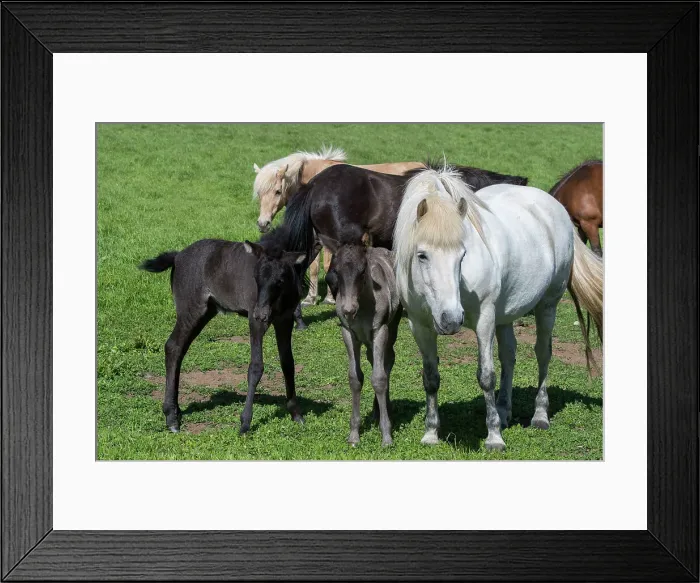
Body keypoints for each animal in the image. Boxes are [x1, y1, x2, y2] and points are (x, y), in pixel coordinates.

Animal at [139, 224, 308, 435]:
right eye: (255, 278)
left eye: (281, 280)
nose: (261, 313)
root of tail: (177, 256)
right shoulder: (255, 323)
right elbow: (256, 367)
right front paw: (245, 423)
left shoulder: (284, 320)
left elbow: (288, 364)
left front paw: (296, 413)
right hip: (191, 309)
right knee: (173, 347)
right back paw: (171, 417)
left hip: (206, 312)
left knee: (178, 349)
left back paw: (175, 411)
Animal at [252, 146, 423, 306]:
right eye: (259, 194)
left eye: (277, 191)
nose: (262, 224)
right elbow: (314, 267)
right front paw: (310, 298)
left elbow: (328, 263)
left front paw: (329, 298)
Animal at [323, 233, 402, 447]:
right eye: (336, 272)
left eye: (362, 271)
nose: (348, 309)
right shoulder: (348, 332)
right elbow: (355, 378)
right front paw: (354, 434)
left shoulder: (380, 330)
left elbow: (379, 378)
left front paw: (386, 435)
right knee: (373, 359)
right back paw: (376, 411)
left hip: (391, 326)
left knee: (388, 361)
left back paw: (384, 410)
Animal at [393, 165, 603, 451]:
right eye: (422, 255)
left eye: (462, 254)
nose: (451, 320)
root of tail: (555, 206)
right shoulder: (420, 325)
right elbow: (431, 378)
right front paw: (431, 433)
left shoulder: (485, 319)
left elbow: (486, 376)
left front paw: (493, 438)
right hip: (506, 315)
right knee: (509, 355)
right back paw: (504, 411)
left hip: (547, 306)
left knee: (543, 354)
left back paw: (539, 416)